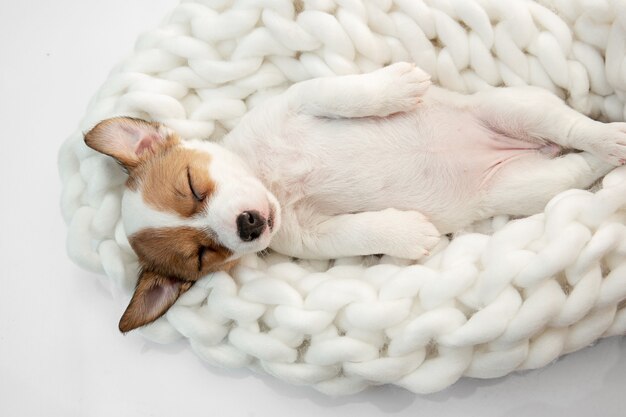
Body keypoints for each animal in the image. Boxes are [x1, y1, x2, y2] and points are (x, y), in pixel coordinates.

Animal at [84, 62, 624, 332]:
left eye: (193, 185)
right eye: (204, 255)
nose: (249, 225)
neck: (271, 178)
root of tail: (530, 147)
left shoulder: (302, 99)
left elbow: (343, 94)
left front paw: (394, 86)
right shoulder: (313, 238)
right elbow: (360, 231)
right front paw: (407, 233)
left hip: (516, 107)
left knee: (574, 129)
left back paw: (611, 135)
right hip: (522, 188)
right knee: (576, 165)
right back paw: (609, 159)